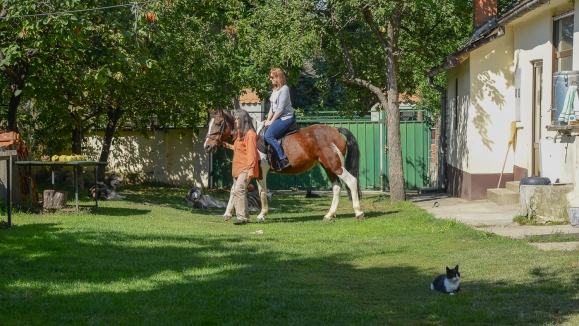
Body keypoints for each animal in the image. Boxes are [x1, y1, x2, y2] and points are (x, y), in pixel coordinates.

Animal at [204, 109, 364, 222]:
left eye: (217, 124)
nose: (207, 146)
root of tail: (336, 130)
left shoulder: (260, 171)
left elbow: (262, 192)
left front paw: (262, 214)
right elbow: (233, 190)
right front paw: (227, 214)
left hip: (335, 165)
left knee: (351, 181)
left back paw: (358, 212)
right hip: (328, 166)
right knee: (336, 187)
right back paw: (329, 215)